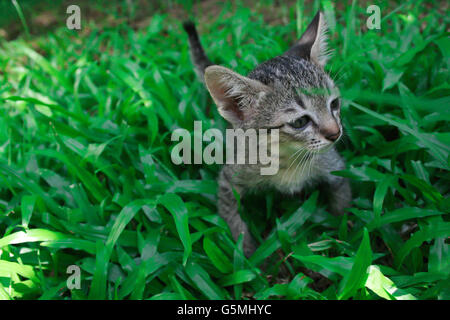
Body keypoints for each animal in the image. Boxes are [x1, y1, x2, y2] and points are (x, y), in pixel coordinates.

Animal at [183, 11, 352, 258]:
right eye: (300, 122)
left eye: (334, 104)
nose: (335, 133)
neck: (287, 158)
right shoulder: (228, 181)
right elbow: (233, 220)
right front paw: (249, 256)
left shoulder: (335, 168)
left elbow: (342, 205)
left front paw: (344, 237)